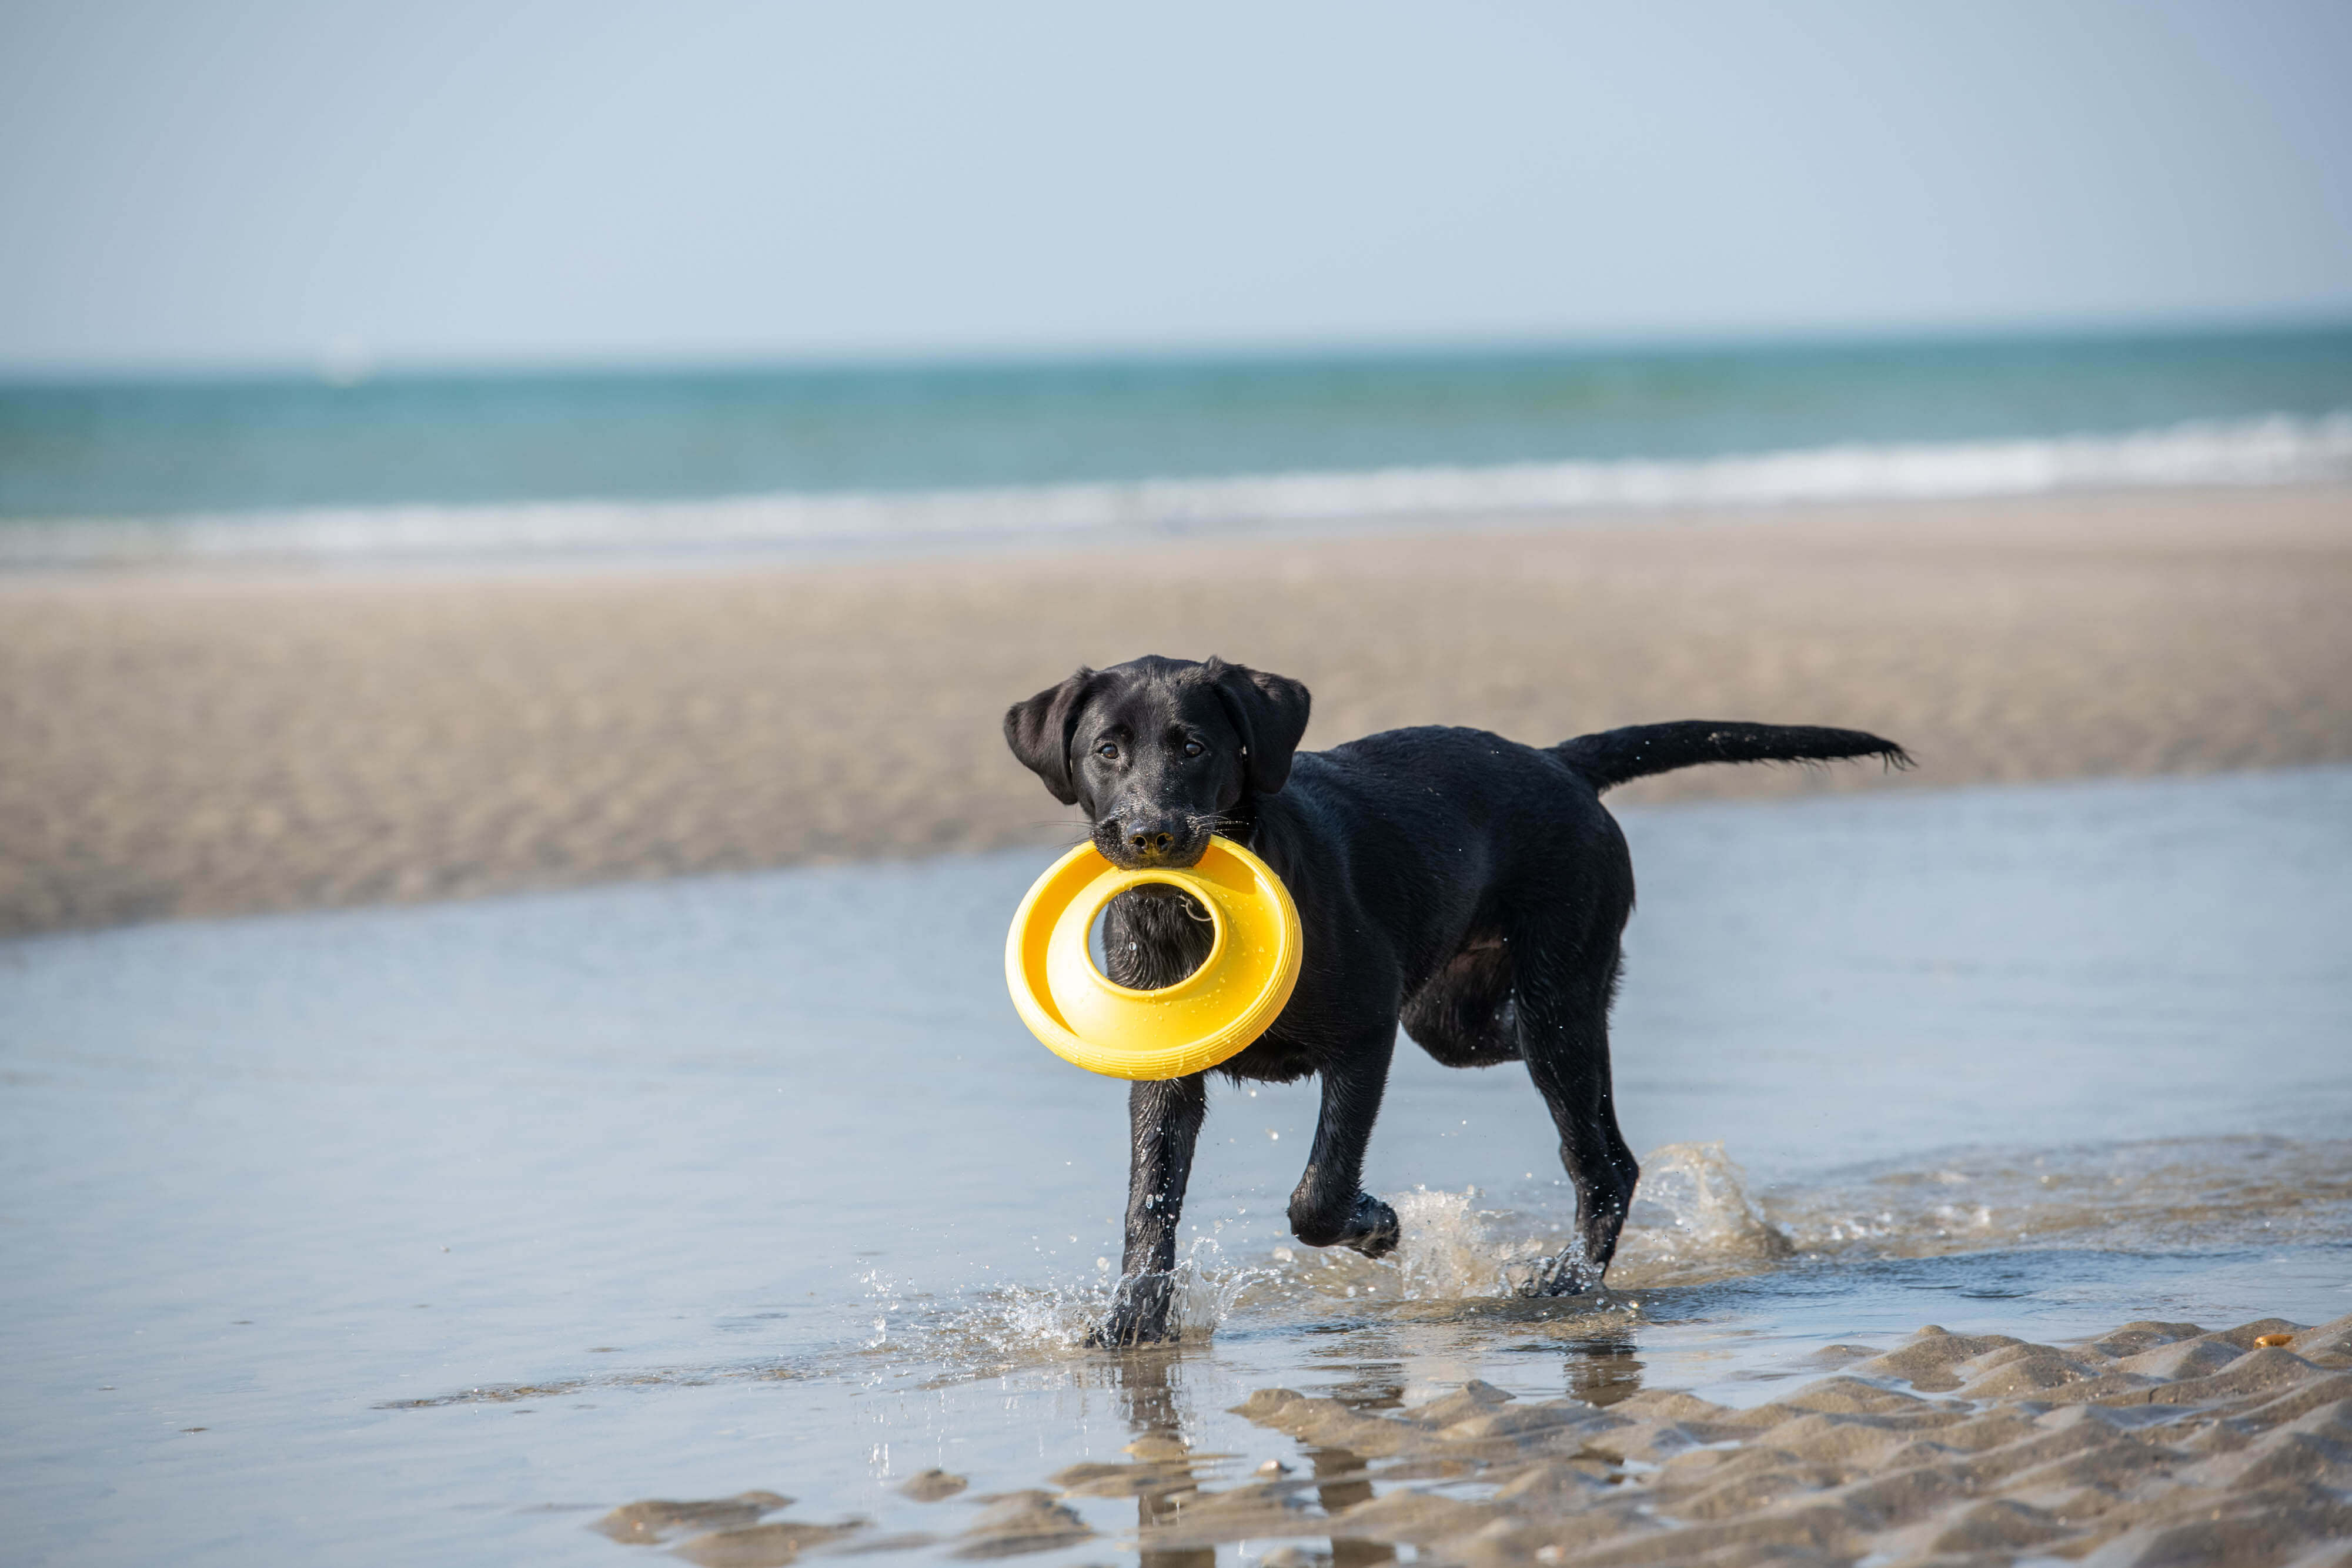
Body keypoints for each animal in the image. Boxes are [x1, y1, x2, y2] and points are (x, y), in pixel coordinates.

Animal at [1002, 658, 1900, 1345]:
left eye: (1193, 745)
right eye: (1106, 749)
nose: (1150, 832)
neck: (1187, 918)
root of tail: (1560, 763)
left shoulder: (1365, 1038)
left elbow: (1318, 1193)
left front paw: (1378, 1225)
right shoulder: (1166, 1079)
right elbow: (1148, 1206)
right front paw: (1130, 1324)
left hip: (1550, 996)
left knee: (1602, 1155)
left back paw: (1567, 1281)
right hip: (1455, 1018)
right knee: (1554, 1072)